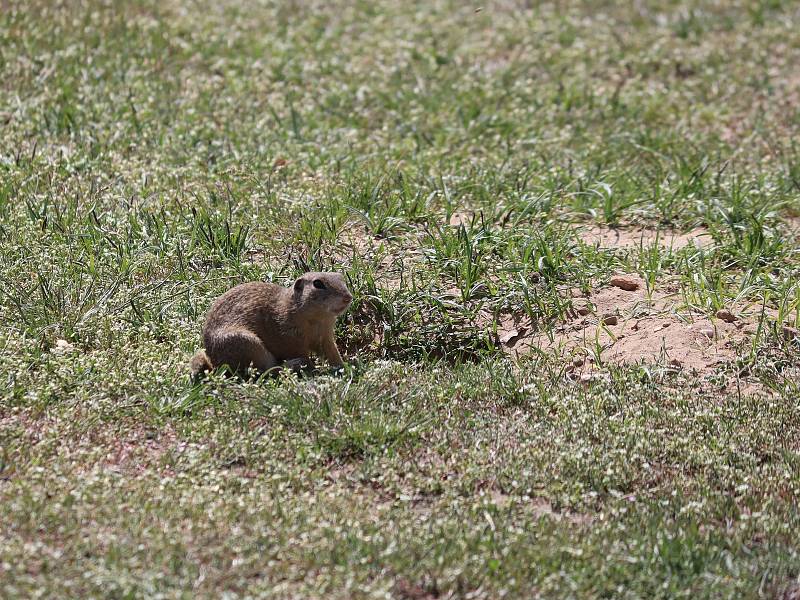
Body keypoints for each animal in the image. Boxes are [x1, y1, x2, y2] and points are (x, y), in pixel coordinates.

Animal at [191, 274, 354, 380]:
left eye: (341, 277)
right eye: (318, 284)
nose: (348, 297)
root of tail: (213, 363)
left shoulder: (325, 336)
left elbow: (332, 353)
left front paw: (344, 368)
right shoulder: (291, 340)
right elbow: (302, 354)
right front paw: (314, 369)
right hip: (250, 345)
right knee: (266, 371)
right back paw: (294, 365)